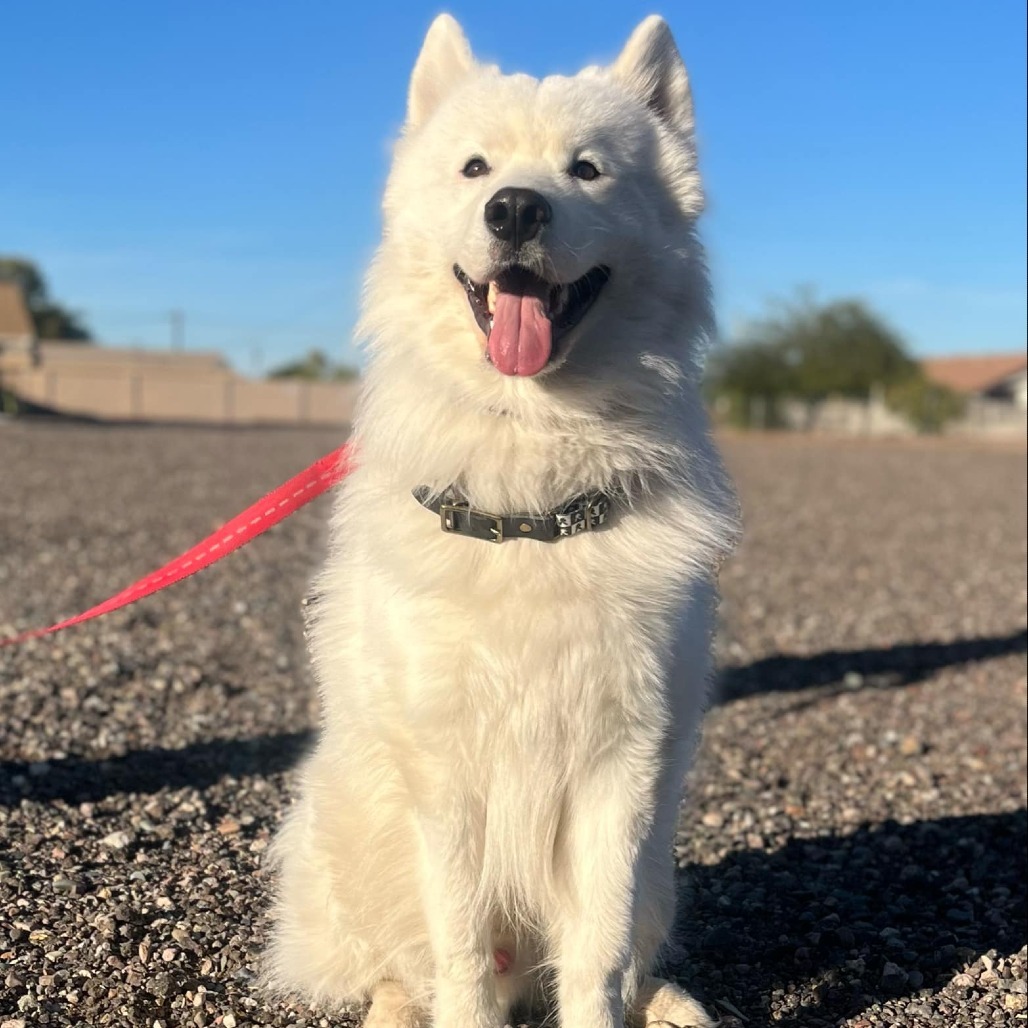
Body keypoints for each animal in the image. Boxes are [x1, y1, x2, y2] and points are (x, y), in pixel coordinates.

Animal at [269, 16, 740, 1028]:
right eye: (475, 167)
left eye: (588, 169)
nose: (516, 210)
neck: (532, 508)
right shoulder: (446, 773)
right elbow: (459, 954)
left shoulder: (624, 766)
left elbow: (599, 956)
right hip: (351, 842)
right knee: (395, 967)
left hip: (660, 868)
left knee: (628, 959)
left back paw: (671, 1004)